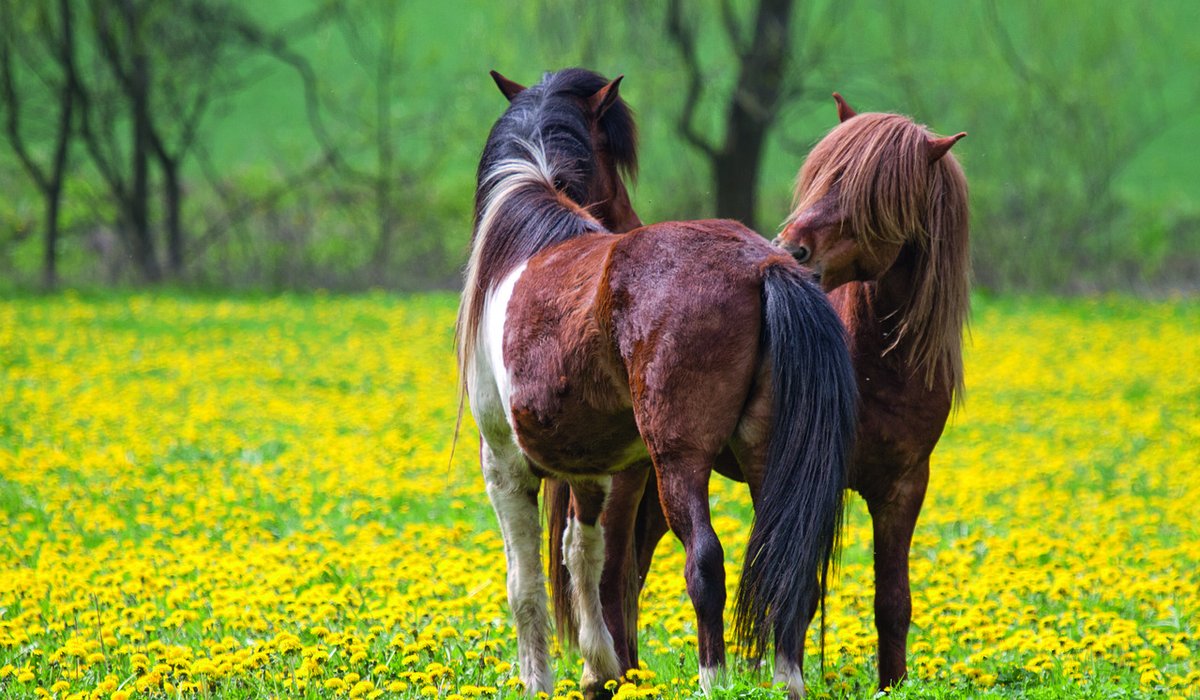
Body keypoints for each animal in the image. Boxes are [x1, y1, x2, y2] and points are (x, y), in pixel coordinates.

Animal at [457, 68, 857, 699]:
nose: (626, 220)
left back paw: (713, 679)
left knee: (705, 562)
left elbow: (527, 584)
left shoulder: (504, 464)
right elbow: (586, 557)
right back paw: (786, 679)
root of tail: (765, 266)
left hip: (678, 461)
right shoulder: (592, 469)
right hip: (767, 456)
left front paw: (539, 680)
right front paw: (600, 667)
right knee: (785, 563)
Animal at [547, 93, 969, 693]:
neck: (878, 365)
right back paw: (611, 676)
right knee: (612, 572)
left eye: (873, 194)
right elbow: (795, 583)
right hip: (632, 476)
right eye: (819, 177)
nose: (790, 247)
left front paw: (890, 684)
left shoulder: (903, 488)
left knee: (632, 572)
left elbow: (891, 601)